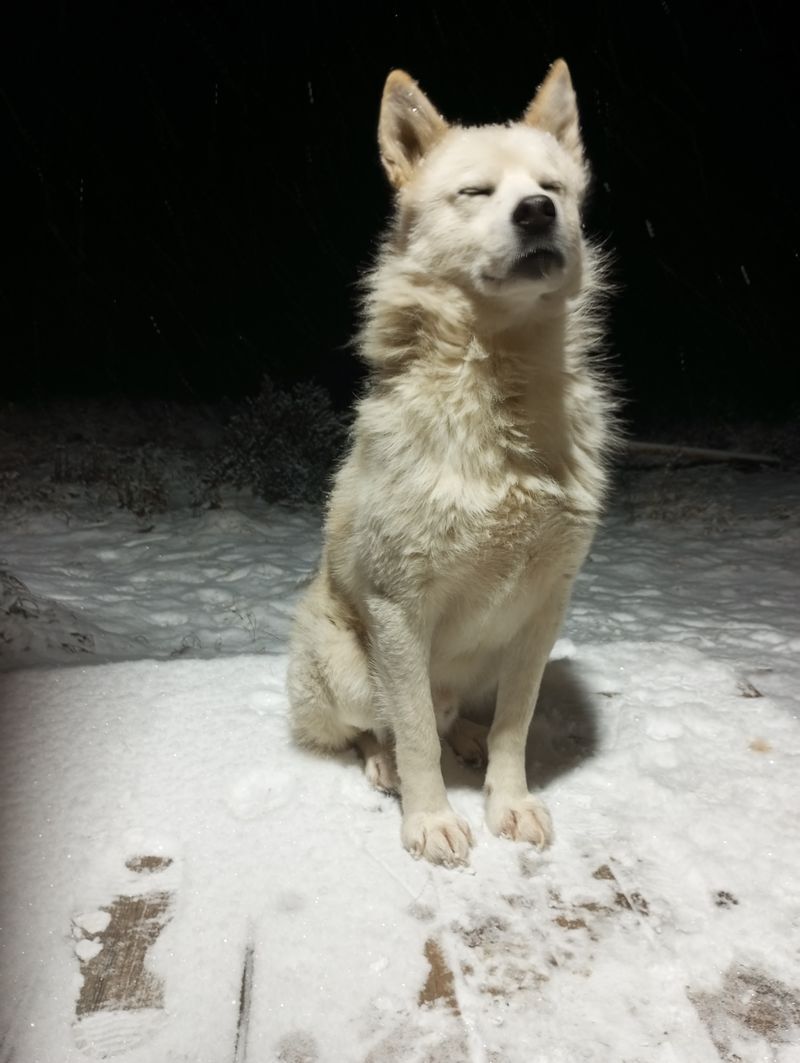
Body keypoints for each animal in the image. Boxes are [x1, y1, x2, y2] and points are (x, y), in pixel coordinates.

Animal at [291, 60, 616, 863]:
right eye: (475, 193)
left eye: (553, 187)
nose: (536, 213)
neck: (498, 389)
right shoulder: (399, 607)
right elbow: (411, 736)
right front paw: (431, 819)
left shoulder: (545, 606)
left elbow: (515, 725)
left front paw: (509, 801)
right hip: (348, 664)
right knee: (378, 725)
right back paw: (381, 762)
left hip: (480, 663)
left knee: (452, 716)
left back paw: (462, 734)